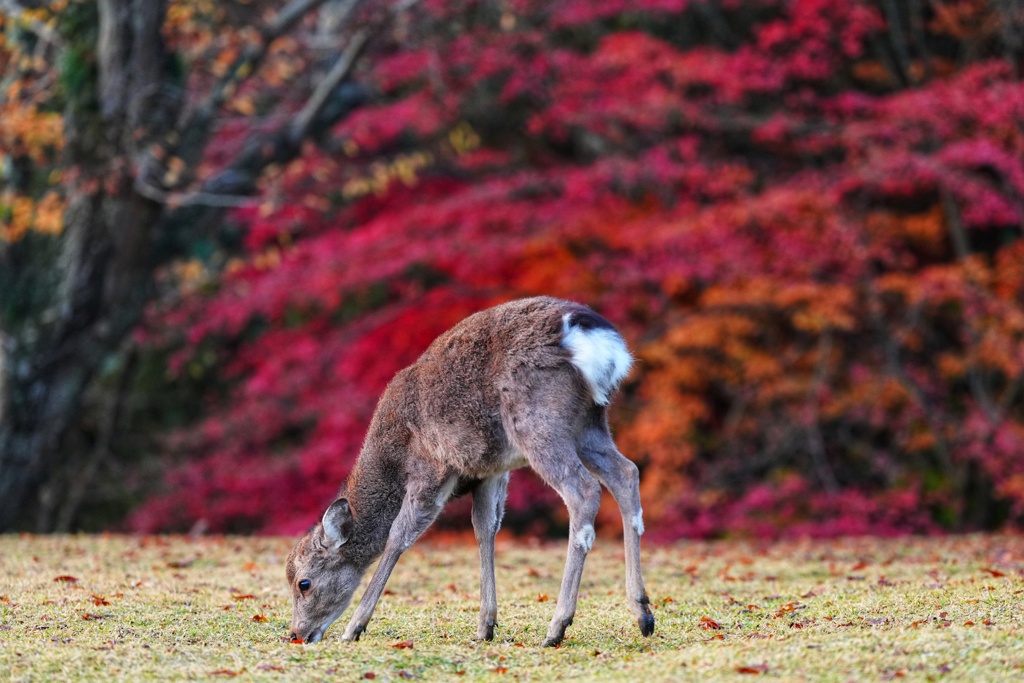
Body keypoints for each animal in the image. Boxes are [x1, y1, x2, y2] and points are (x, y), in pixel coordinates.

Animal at [286, 294, 655, 647]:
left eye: (304, 582)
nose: (297, 634)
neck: (392, 458)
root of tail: (599, 340)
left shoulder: (431, 466)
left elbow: (399, 535)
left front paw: (354, 627)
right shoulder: (489, 471)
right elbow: (485, 529)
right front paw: (485, 626)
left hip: (539, 422)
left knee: (584, 490)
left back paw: (557, 627)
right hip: (589, 424)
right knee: (627, 473)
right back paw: (643, 613)